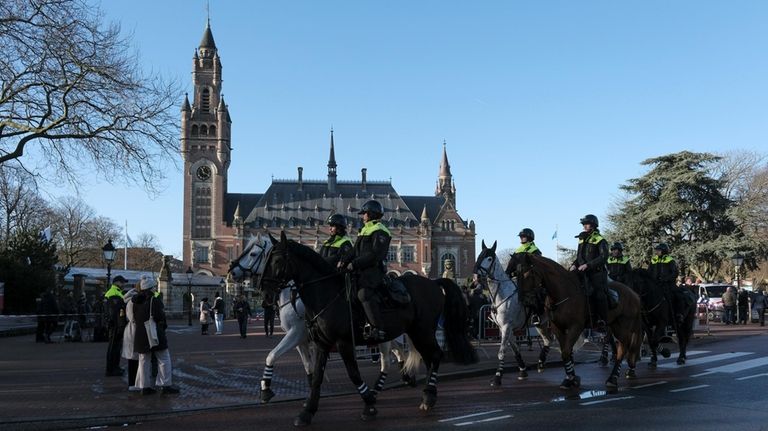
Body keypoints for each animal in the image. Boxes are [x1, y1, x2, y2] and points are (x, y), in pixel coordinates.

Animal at [226, 235, 408, 404]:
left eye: (253, 253)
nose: (231, 271)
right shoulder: (301, 340)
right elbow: (308, 367)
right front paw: (311, 391)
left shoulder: (296, 333)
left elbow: (271, 355)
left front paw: (265, 389)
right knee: (399, 351)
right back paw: (405, 376)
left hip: (382, 337)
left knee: (389, 359)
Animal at [260, 233, 476, 426]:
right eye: (265, 258)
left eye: (277, 260)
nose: (265, 295)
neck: (326, 294)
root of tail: (433, 282)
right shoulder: (321, 342)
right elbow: (315, 376)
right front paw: (306, 411)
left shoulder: (341, 342)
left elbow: (353, 374)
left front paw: (369, 405)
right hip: (412, 332)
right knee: (422, 357)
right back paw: (418, 388)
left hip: (422, 331)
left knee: (433, 355)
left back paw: (427, 396)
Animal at [472, 241, 572, 386]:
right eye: (479, 256)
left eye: (489, 258)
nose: (475, 278)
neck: (502, 294)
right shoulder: (504, 328)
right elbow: (515, 349)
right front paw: (523, 370)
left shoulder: (507, 326)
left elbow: (501, 352)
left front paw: (497, 377)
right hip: (541, 324)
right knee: (548, 340)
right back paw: (542, 363)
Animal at [516, 255, 640, 390]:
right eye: (517, 273)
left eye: (527, 274)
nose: (522, 300)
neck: (563, 291)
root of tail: (634, 294)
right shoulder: (558, 328)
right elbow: (567, 352)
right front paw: (571, 378)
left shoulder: (576, 327)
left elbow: (566, 352)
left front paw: (571, 379)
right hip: (614, 325)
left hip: (622, 327)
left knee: (623, 348)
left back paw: (613, 378)